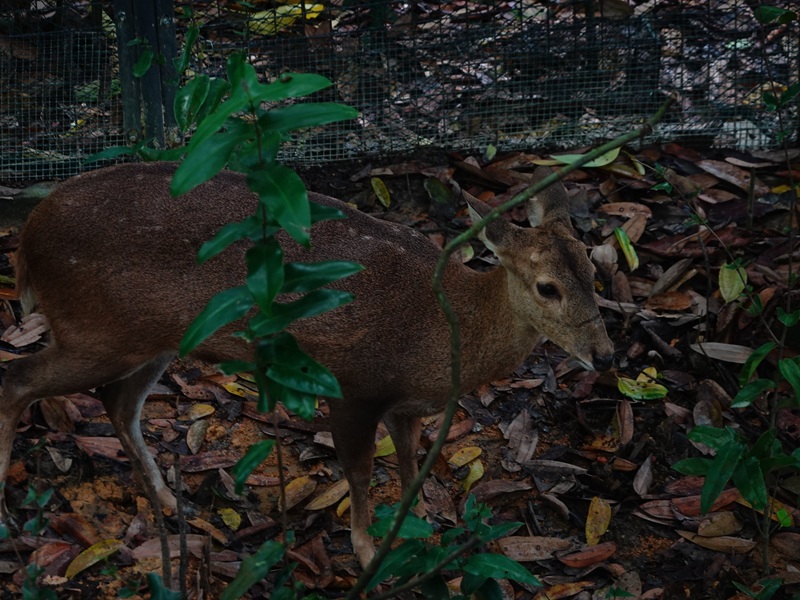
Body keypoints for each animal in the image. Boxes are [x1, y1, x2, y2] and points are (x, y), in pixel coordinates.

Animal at [0, 161, 613, 568]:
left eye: (594, 270)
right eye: (548, 287)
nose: (605, 354)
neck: (441, 333)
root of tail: (27, 243)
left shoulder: (407, 405)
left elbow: (411, 465)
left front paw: (419, 530)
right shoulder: (354, 386)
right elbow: (361, 472)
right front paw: (367, 549)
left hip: (151, 338)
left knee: (117, 402)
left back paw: (169, 499)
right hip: (95, 330)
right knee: (18, 380)